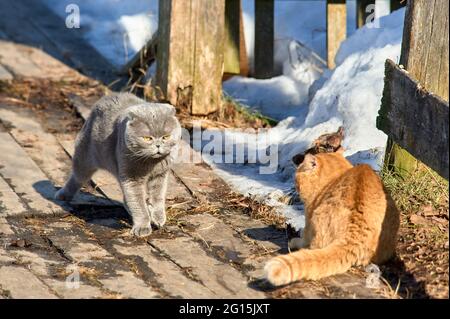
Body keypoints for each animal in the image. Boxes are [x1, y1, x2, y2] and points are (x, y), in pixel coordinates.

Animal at [55, 92, 181, 238]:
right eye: (147, 138)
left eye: (166, 136)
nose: (158, 145)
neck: (151, 163)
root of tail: (107, 97)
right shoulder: (131, 177)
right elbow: (138, 203)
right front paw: (142, 227)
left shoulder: (160, 175)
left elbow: (158, 197)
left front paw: (158, 217)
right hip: (84, 156)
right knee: (77, 177)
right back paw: (63, 195)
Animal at [266, 151, 400, 286]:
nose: (296, 188)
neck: (334, 178)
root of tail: (353, 236)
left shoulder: (309, 217)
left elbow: (305, 237)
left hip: (317, 219)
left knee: (312, 246)